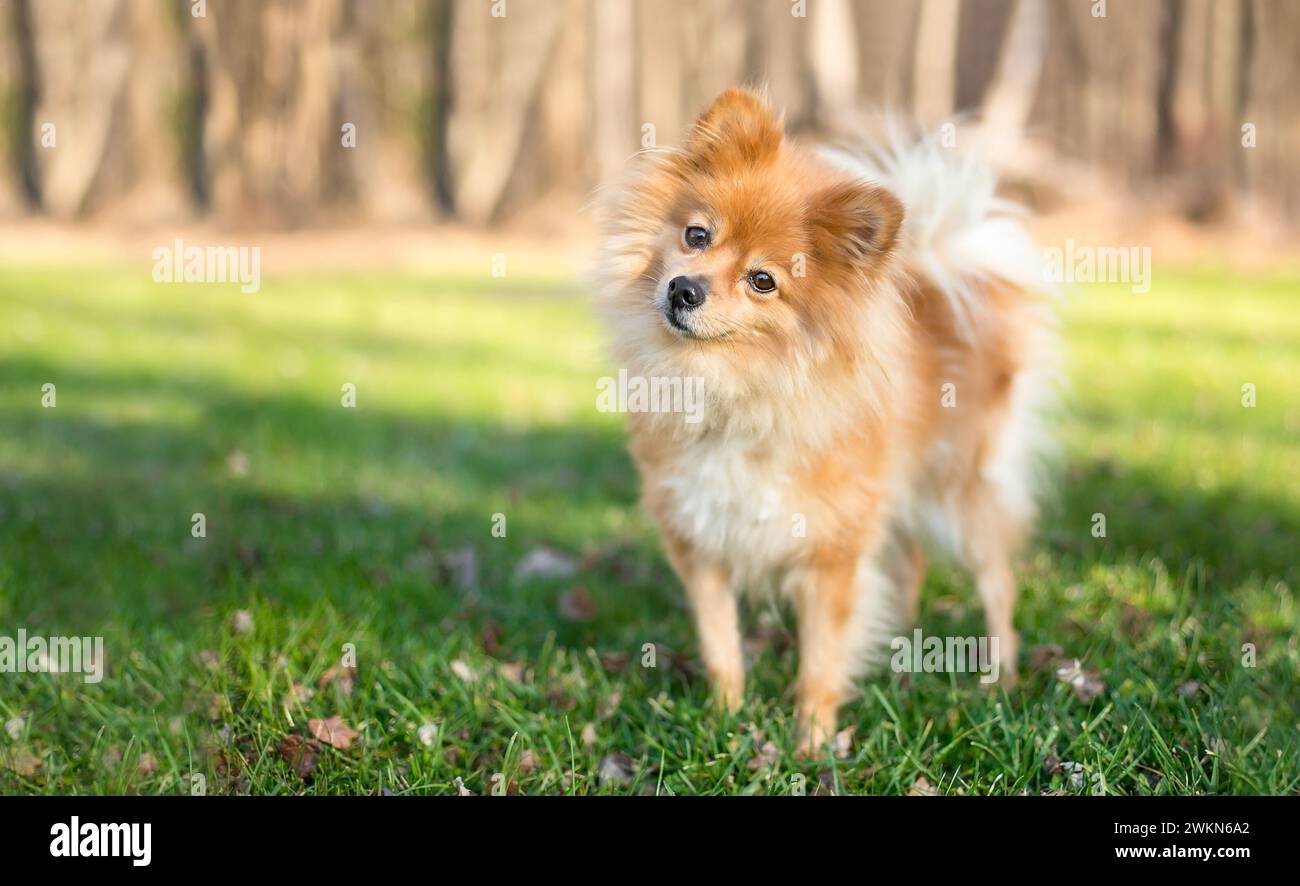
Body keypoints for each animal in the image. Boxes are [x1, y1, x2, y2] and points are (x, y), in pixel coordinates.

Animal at [595, 89, 1055, 748]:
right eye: (696, 235)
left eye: (763, 281)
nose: (684, 289)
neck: (734, 390)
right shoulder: (701, 542)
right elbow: (720, 645)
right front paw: (724, 720)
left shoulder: (830, 553)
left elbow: (820, 657)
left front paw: (811, 744)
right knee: (911, 562)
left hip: (962, 493)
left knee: (997, 584)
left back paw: (1001, 680)